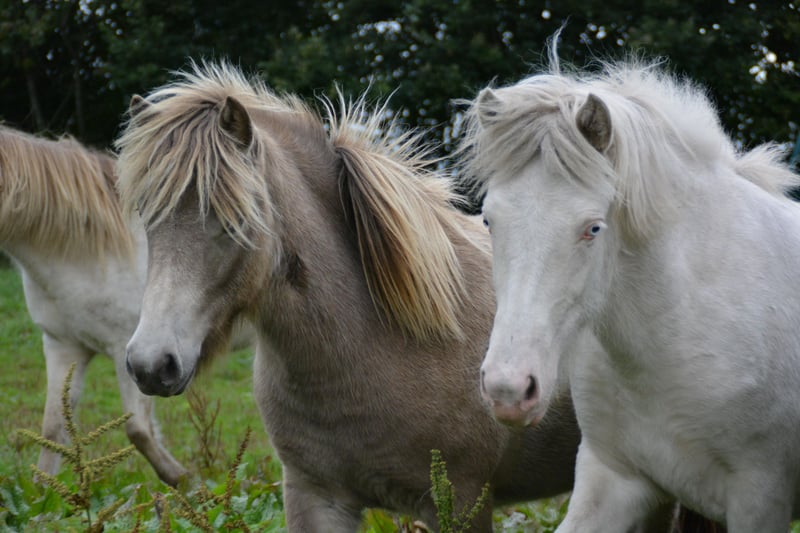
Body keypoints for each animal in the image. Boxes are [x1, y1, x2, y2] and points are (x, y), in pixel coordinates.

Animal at [0, 125, 252, 486]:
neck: (86, 249)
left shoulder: (132, 353)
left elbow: (139, 431)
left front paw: (189, 483)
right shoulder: (63, 346)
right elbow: (52, 430)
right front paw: (45, 497)